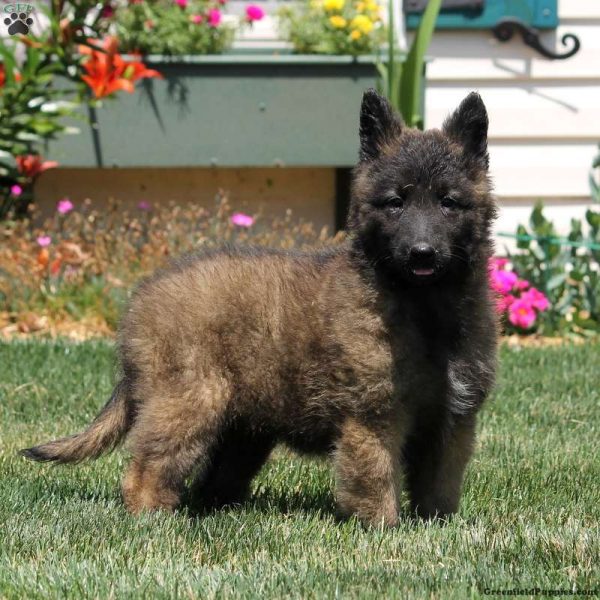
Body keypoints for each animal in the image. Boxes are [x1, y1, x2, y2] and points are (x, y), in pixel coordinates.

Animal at [21, 88, 496, 524]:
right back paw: (153, 520)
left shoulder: (454, 418)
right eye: (396, 202)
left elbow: (441, 483)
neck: (424, 307)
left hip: (242, 430)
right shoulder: (374, 415)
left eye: (448, 202)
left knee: (211, 478)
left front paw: (438, 526)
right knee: (149, 466)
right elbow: (376, 479)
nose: (422, 253)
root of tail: (140, 300)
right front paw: (382, 532)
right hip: (190, 398)